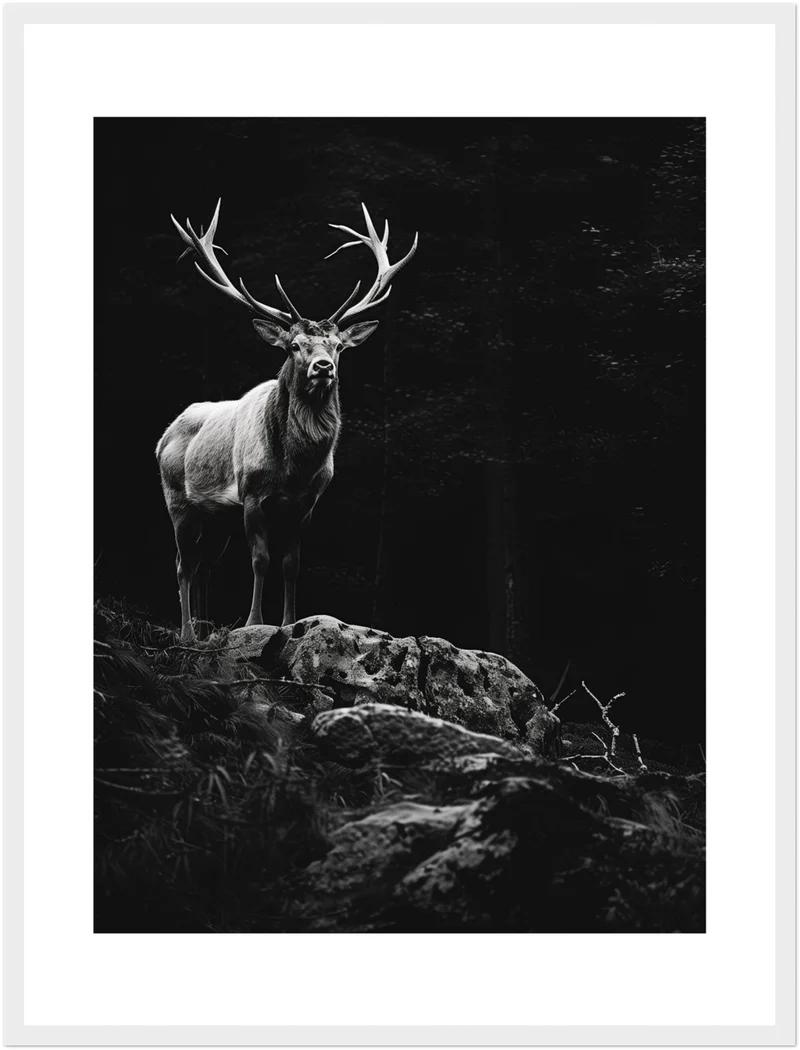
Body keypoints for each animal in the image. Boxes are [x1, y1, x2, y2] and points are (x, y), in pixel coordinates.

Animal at [156, 200, 417, 643]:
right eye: (294, 345)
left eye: (338, 346)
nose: (323, 367)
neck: (294, 468)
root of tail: (162, 436)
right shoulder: (251, 495)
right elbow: (260, 560)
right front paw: (253, 622)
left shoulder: (306, 504)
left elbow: (291, 564)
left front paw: (290, 622)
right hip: (178, 500)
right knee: (183, 564)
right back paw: (188, 634)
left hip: (217, 518)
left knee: (204, 567)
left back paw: (206, 633)